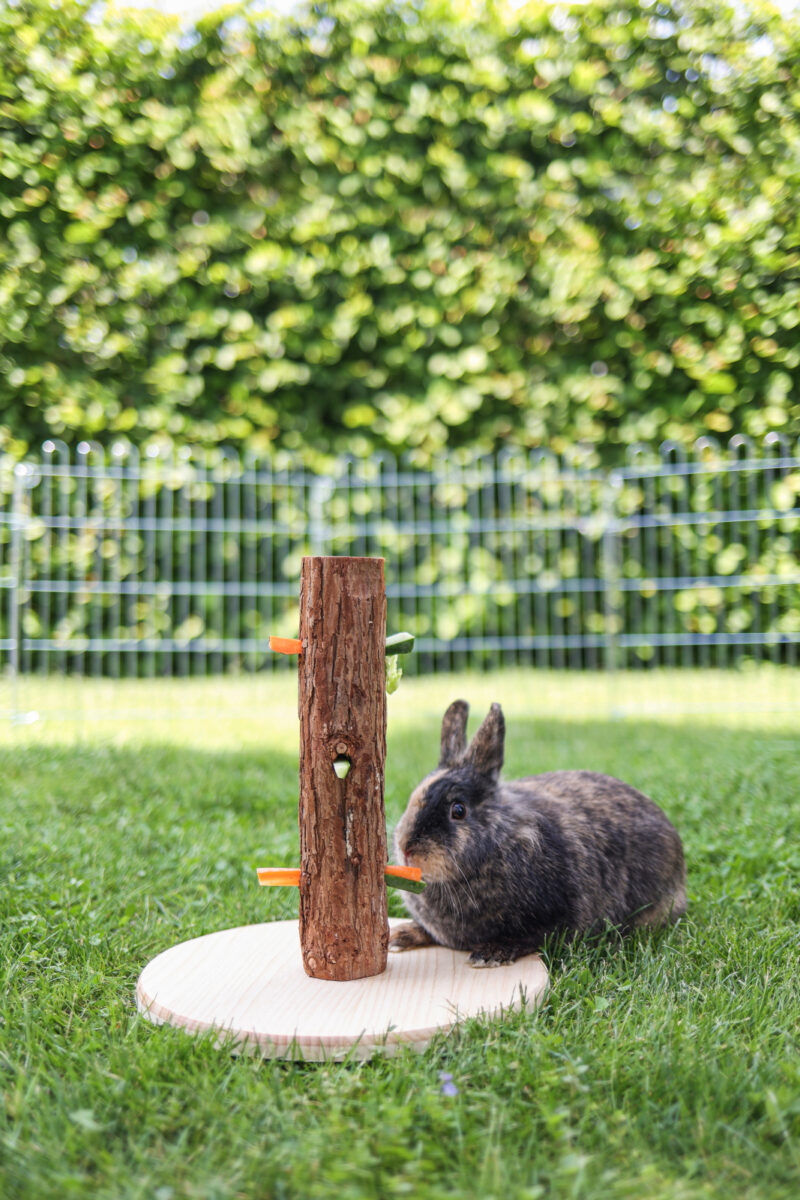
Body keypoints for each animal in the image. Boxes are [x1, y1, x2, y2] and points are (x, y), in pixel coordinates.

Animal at [391, 700, 686, 964]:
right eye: (414, 796)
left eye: (459, 810)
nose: (407, 848)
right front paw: (400, 935)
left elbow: (532, 938)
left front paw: (491, 954)